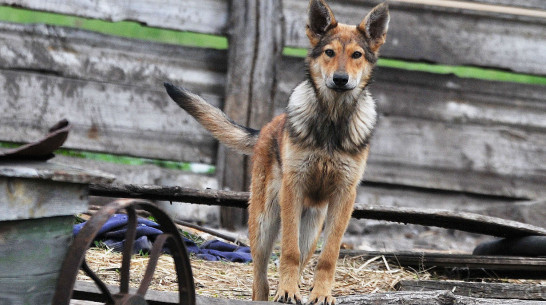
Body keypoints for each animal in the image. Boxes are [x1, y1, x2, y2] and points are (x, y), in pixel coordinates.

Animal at [164, 0, 388, 302]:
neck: (332, 120)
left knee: (304, 257)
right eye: (329, 52)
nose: (340, 79)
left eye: (357, 55)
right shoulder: (293, 188)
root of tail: (266, 129)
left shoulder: (344, 195)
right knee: (260, 277)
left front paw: (321, 293)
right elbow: (288, 252)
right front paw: (288, 291)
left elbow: (329, 256)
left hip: (312, 227)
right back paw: (273, 291)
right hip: (264, 223)